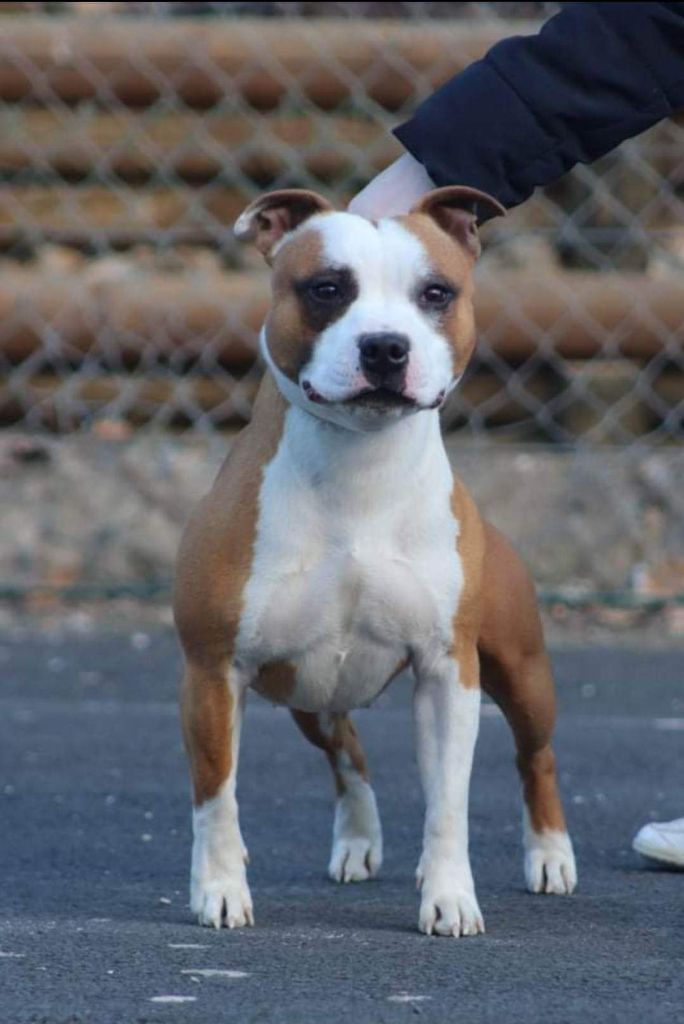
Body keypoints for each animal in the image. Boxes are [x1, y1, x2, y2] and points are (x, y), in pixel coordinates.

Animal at [173, 186, 577, 937]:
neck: (359, 467)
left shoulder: (449, 672)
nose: (385, 346)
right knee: (348, 752)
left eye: (436, 292)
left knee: (535, 754)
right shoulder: (212, 671)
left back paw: (550, 855)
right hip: (308, 691)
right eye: (327, 288)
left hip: (522, 672)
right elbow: (216, 796)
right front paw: (220, 889)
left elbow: (447, 803)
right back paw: (358, 842)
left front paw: (449, 896)